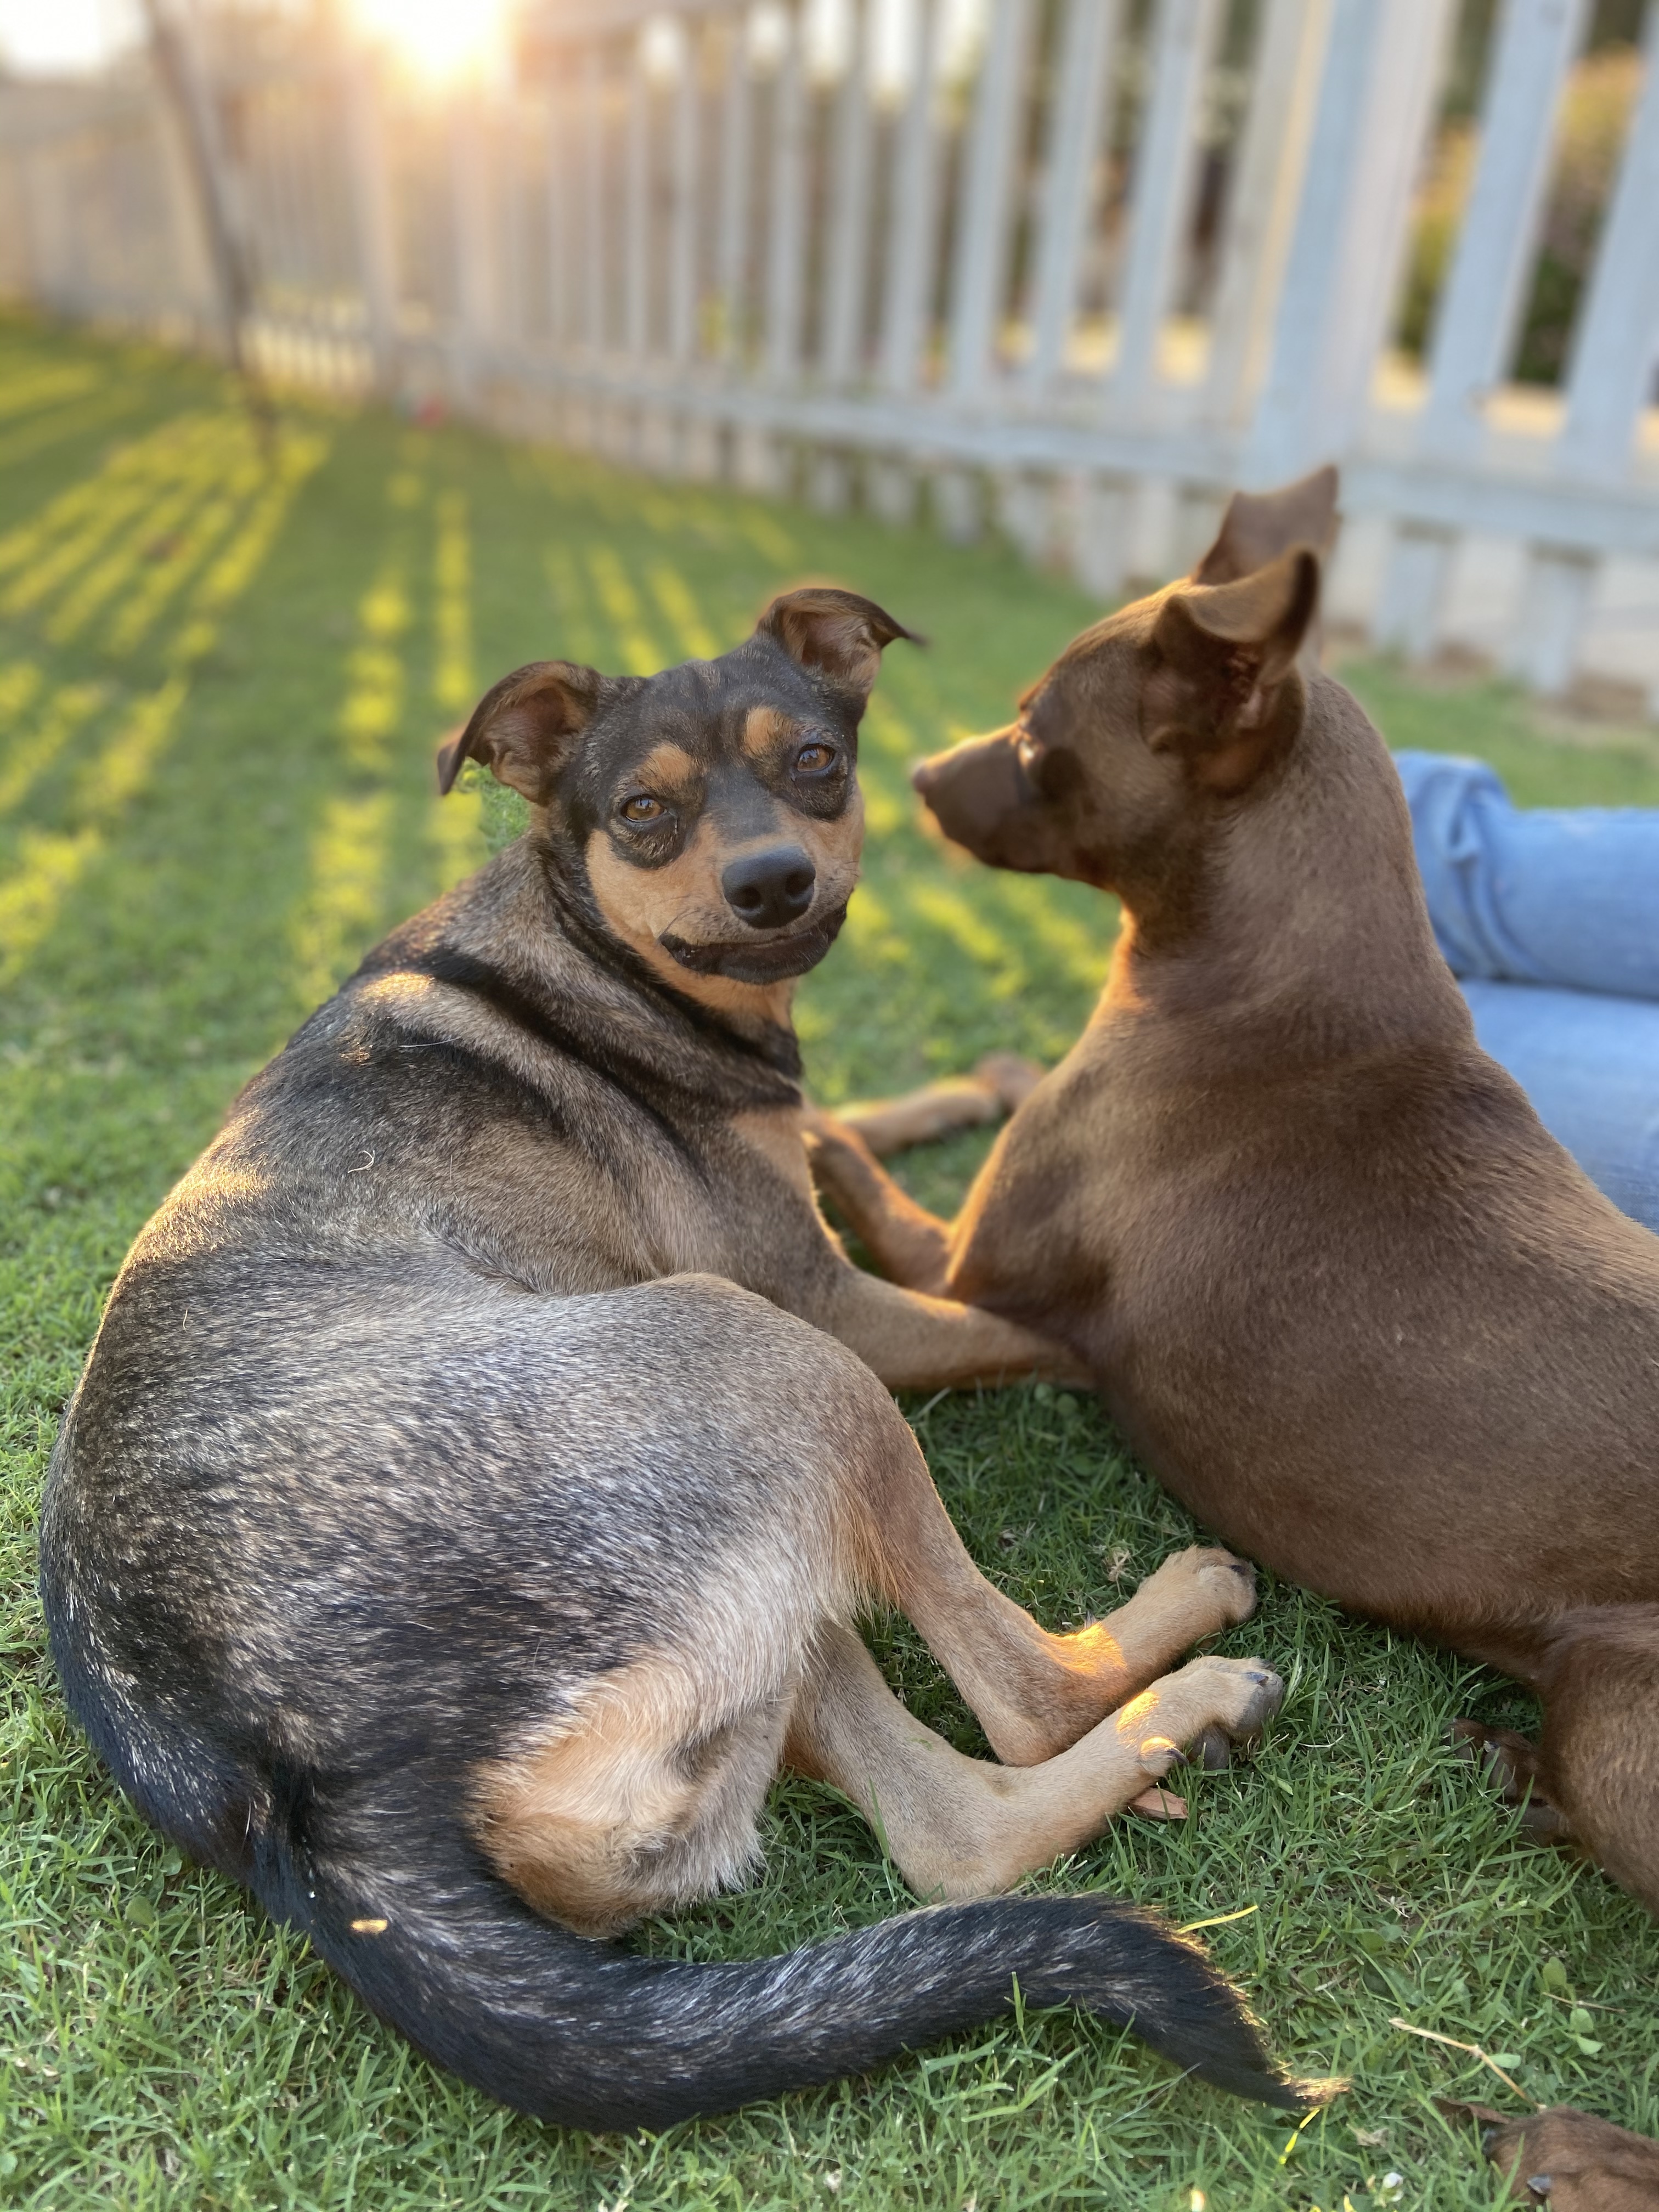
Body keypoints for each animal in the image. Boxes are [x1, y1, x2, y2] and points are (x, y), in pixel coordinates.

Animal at [36, 584, 1327, 2123]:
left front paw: (980, 1085)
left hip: (765, 1611)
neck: (586, 943)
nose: (773, 882)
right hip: (767, 1358)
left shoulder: (791, 1180)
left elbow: (845, 1123)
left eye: (817, 761)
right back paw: (1196, 1652)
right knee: (1022, 1710)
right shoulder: (828, 1301)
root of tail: (308, 1793)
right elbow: (1020, 1327)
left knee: (951, 1834)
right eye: (645, 811)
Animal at [814, 479, 1659, 1938]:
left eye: (1035, 738)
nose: (915, 779)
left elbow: (848, 1160)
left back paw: (1510, 1765)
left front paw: (809, 1129)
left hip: (1623, 1724)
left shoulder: (961, 1271)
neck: (1273, 988)